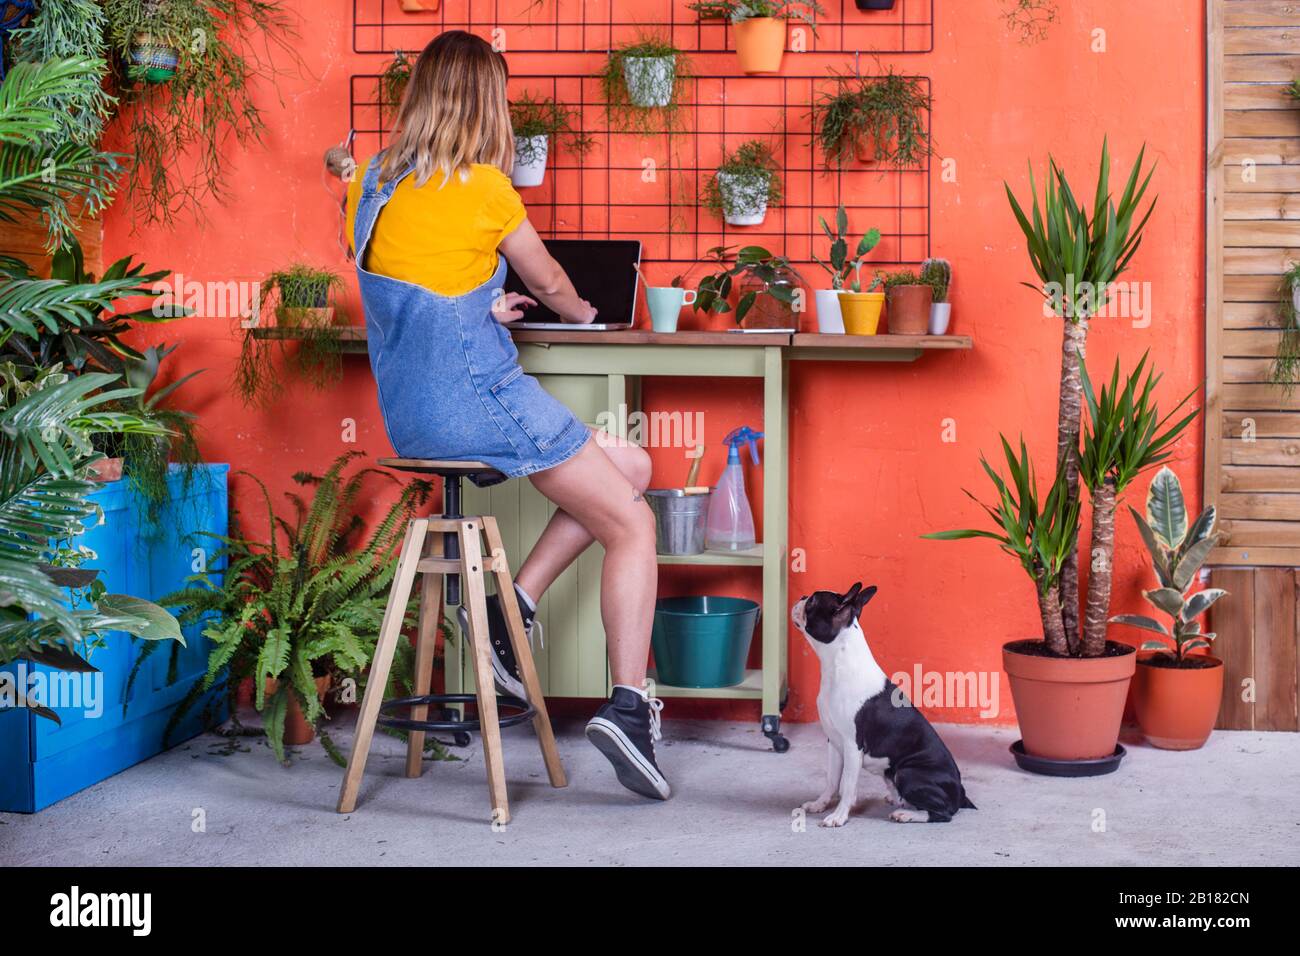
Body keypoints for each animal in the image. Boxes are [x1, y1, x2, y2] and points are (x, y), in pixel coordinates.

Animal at [790, 582, 977, 832]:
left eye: (811, 602)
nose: (801, 597)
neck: (838, 666)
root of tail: (961, 793)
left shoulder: (852, 746)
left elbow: (847, 785)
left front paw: (839, 816)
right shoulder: (834, 742)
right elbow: (831, 780)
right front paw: (820, 804)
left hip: (907, 772)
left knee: (943, 813)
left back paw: (906, 814)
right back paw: (899, 800)